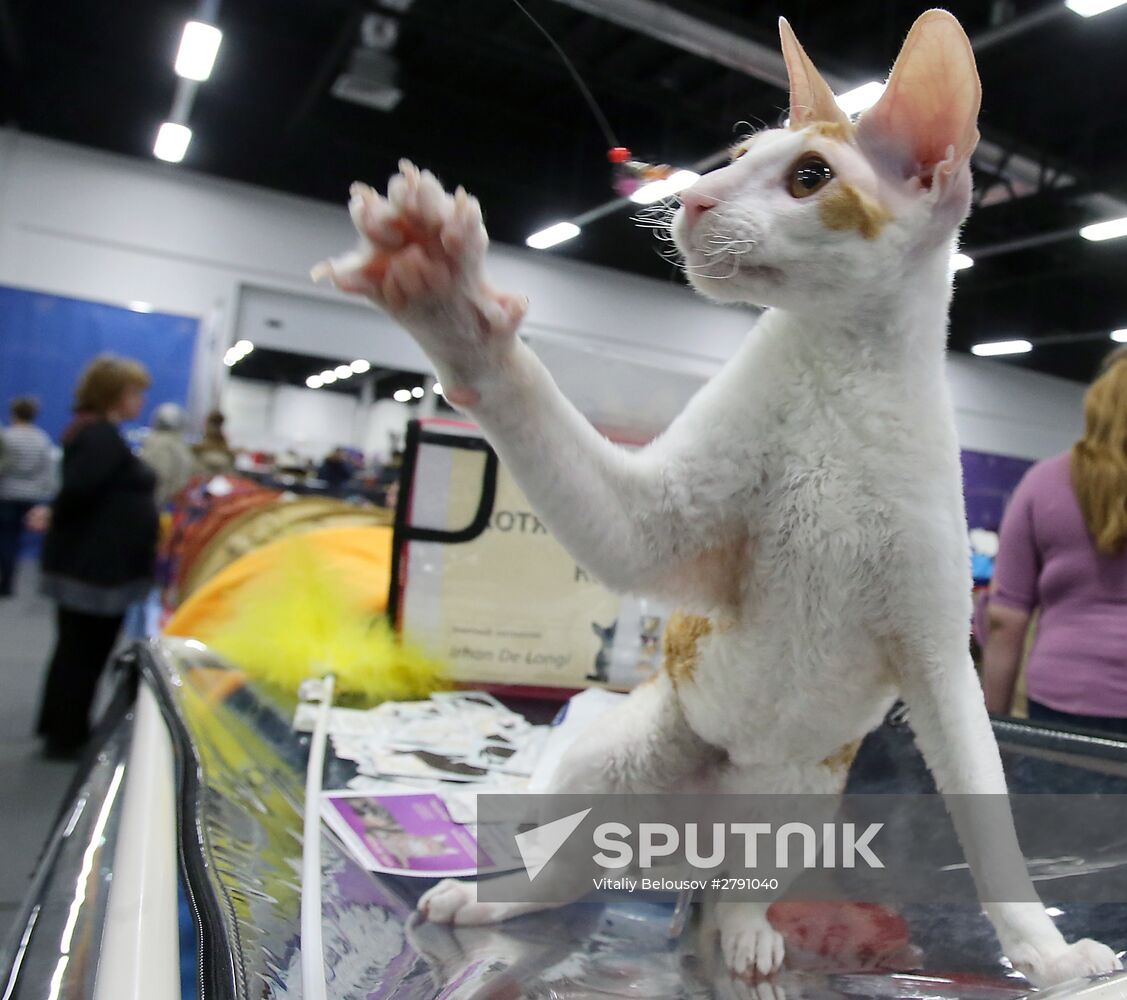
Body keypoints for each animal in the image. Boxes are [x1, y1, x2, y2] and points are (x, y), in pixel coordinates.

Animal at [313, 9, 1122, 992]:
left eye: (809, 178)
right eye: (733, 156)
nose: (692, 199)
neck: (842, 373)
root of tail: (685, 852)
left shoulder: (938, 650)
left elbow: (986, 808)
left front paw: (1045, 952)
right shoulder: (658, 529)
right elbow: (585, 478)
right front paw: (449, 305)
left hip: (802, 796)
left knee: (735, 885)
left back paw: (741, 933)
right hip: (620, 752)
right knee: (564, 865)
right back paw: (493, 898)